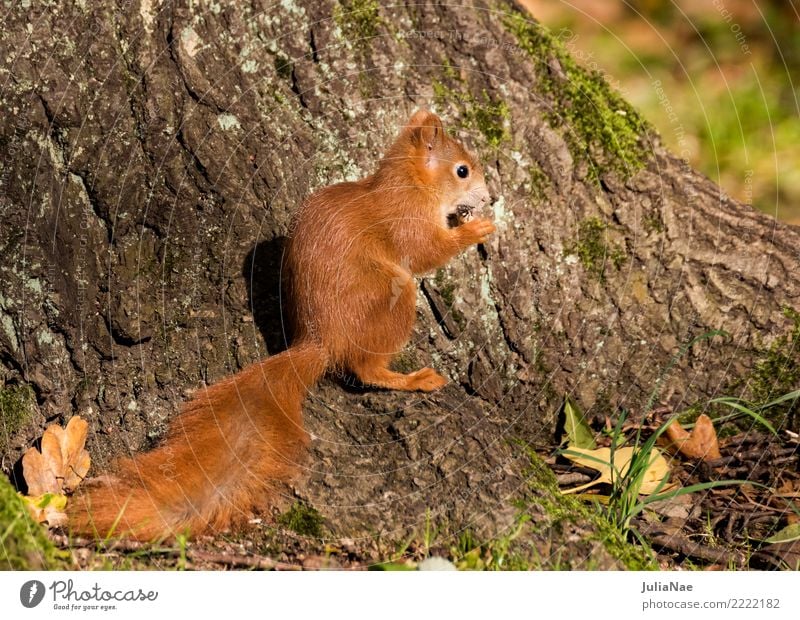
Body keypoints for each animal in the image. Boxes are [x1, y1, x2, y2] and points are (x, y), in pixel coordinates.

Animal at [70, 110, 494, 536]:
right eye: (462, 170)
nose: (488, 199)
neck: (409, 184)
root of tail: (321, 342)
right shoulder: (406, 221)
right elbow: (427, 252)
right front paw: (476, 229)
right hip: (395, 298)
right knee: (365, 369)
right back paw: (411, 379)